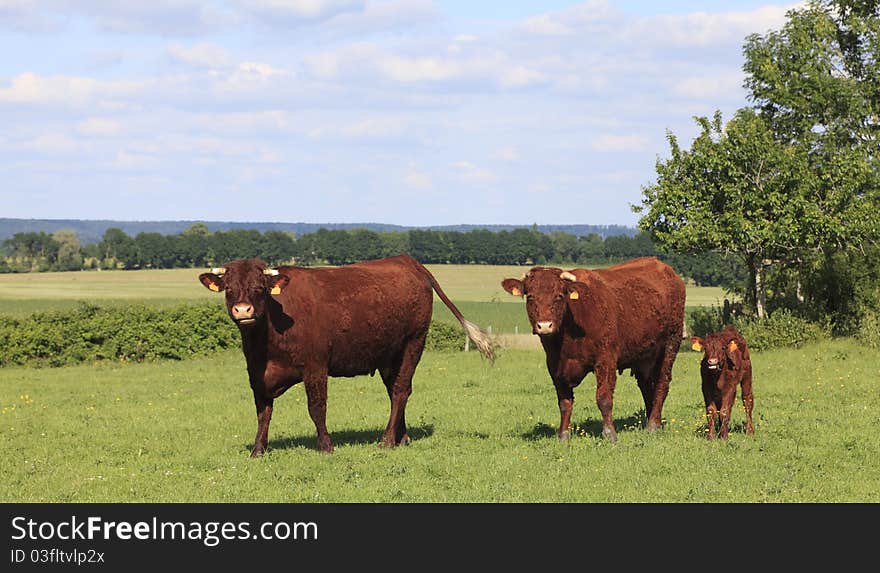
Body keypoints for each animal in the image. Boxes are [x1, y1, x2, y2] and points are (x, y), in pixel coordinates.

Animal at [197, 255, 496, 456]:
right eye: (229, 288)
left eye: (260, 288)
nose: (243, 310)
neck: (268, 341)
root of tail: (407, 261)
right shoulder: (256, 373)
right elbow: (263, 412)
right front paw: (258, 449)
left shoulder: (315, 366)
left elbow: (317, 407)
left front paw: (325, 446)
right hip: (389, 355)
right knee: (396, 391)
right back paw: (402, 437)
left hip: (414, 343)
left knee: (401, 390)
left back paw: (387, 440)